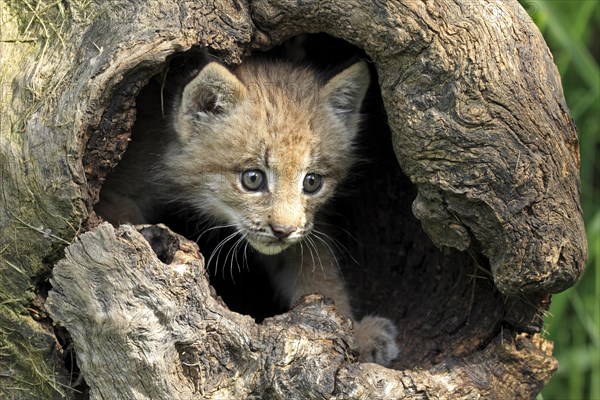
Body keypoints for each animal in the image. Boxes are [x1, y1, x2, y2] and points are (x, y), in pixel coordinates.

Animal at [98, 59, 398, 366]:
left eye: (312, 182)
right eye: (252, 178)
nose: (283, 231)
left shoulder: (303, 230)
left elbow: (317, 272)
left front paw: (357, 335)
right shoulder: (117, 192)